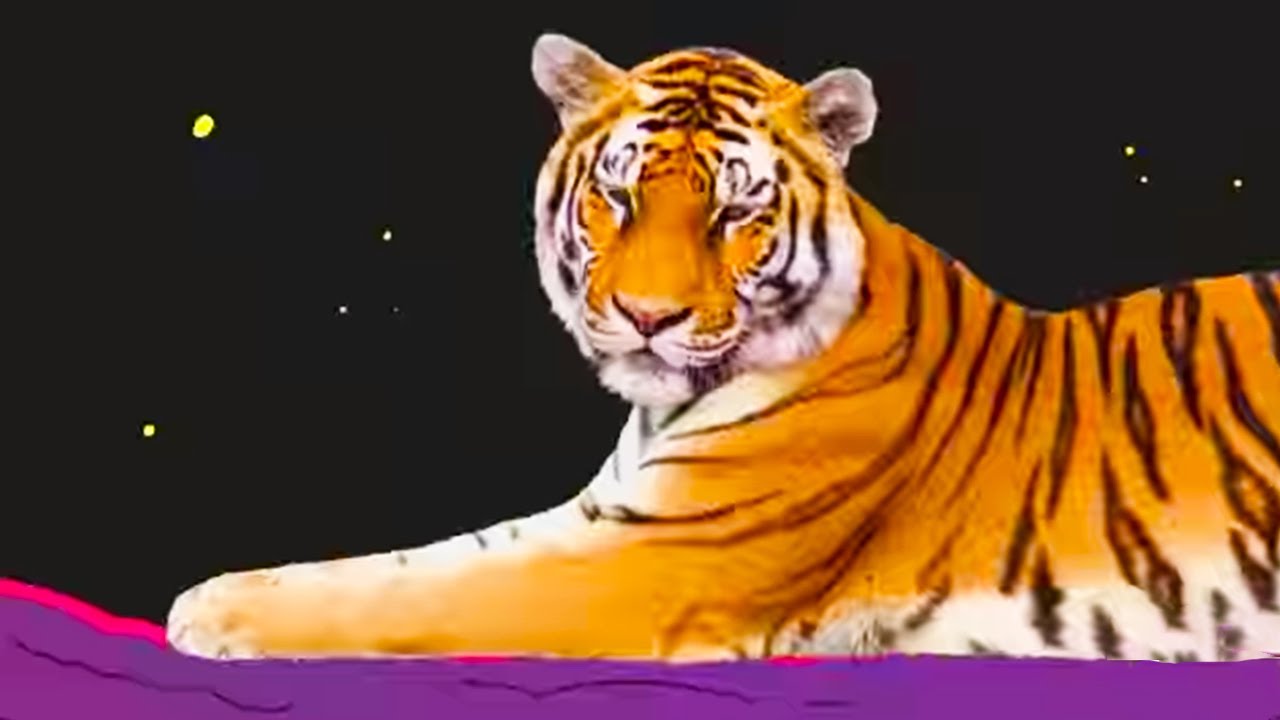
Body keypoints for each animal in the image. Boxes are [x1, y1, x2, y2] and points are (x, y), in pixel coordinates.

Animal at [165, 34, 1280, 664]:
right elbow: (406, 562)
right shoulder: (602, 520)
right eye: (618, 197)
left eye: (732, 213)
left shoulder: (642, 564)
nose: (648, 317)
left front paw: (206, 607)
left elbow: (410, 597)